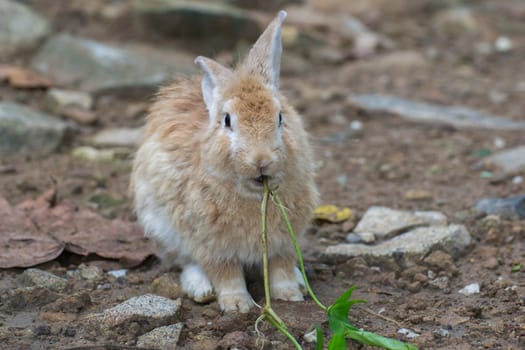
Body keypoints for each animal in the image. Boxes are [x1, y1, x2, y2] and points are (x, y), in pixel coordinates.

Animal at [130, 10, 320, 312]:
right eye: (228, 121)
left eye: (280, 117)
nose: (261, 159)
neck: (253, 195)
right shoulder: (213, 246)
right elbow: (226, 274)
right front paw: (237, 306)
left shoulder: (283, 244)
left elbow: (281, 268)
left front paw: (290, 295)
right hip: (162, 229)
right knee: (186, 263)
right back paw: (201, 288)